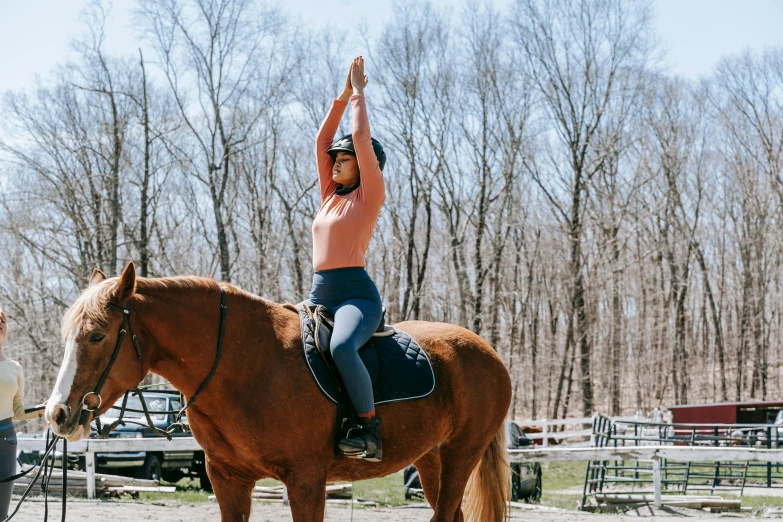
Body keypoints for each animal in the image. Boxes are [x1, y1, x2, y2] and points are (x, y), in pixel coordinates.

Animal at [44, 264, 516, 520]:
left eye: (97, 336)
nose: (57, 414)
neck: (247, 365)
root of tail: (487, 352)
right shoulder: (228, 480)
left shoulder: (306, 480)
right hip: (431, 459)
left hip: (460, 456)